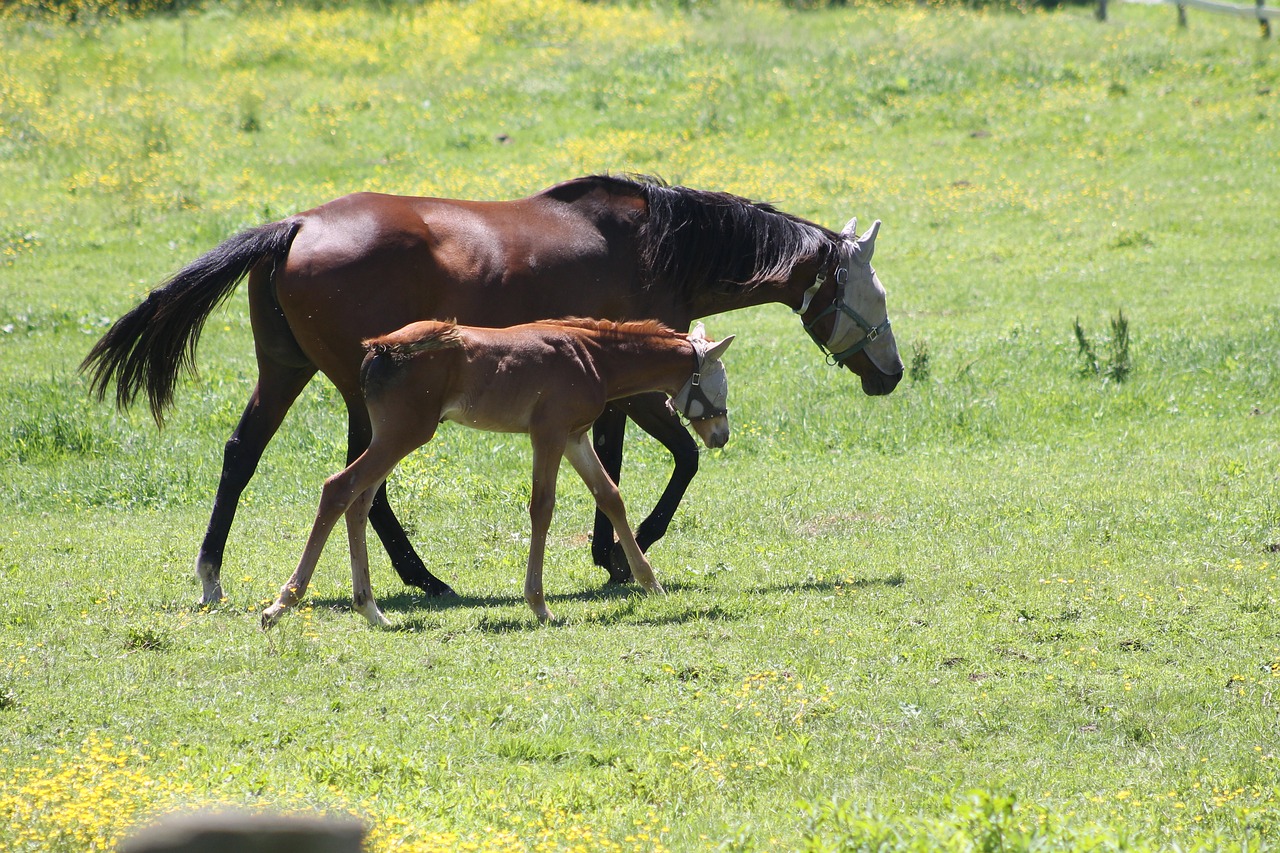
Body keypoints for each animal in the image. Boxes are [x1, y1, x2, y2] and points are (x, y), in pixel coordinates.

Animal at [259, 315, 737, 627]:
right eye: (720, 384)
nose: (721, 435)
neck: (592, 357)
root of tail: (382, 346)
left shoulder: (575, 437)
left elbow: (610, 497)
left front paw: (650, 583)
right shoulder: (549, 433)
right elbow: (542, 508)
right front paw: (539, 604)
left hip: (391, 436)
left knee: (360, 502)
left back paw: (370, 609)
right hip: (404, 434)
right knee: (339, 489)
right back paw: (283, 604)